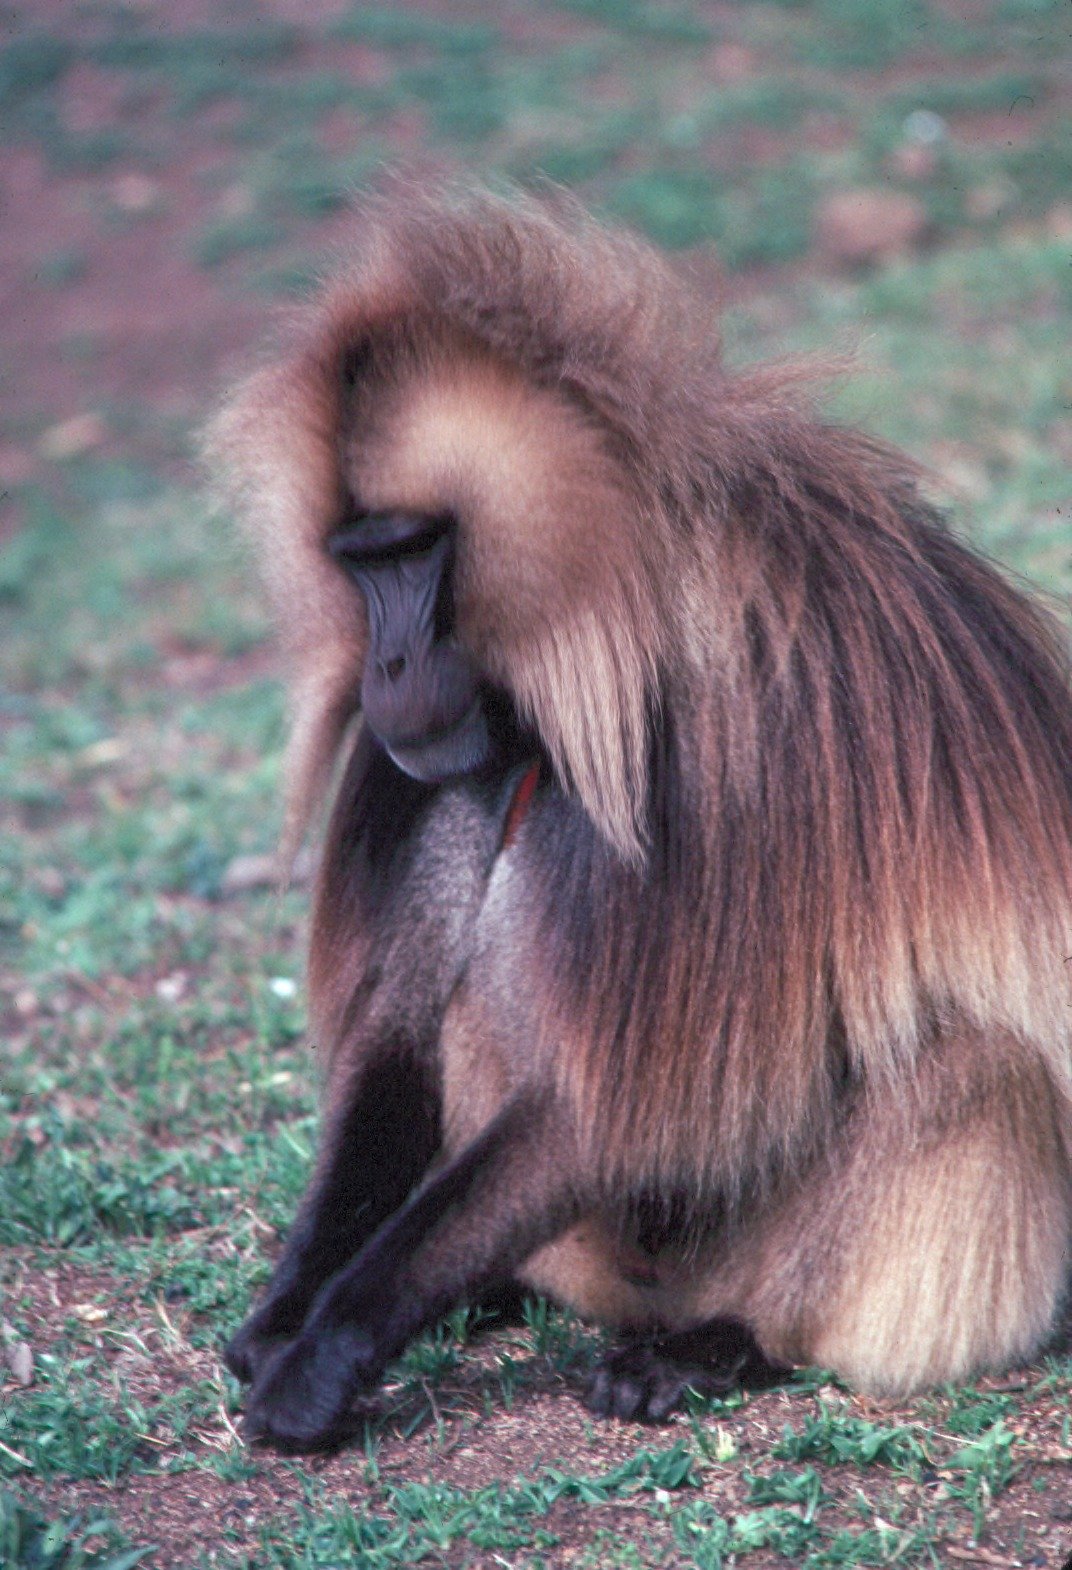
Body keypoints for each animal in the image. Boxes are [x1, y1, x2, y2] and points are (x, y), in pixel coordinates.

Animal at [208, 181, 1072, 1451]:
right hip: (594, 1254)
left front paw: (322, 1353)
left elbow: (604, 1104)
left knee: (973, 1062)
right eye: (358, 564)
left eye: (416, 552)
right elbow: (401, 1034)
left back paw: (715, 1347)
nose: (389, 665)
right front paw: (288, 1310)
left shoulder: (736, 723)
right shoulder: (437, 760)